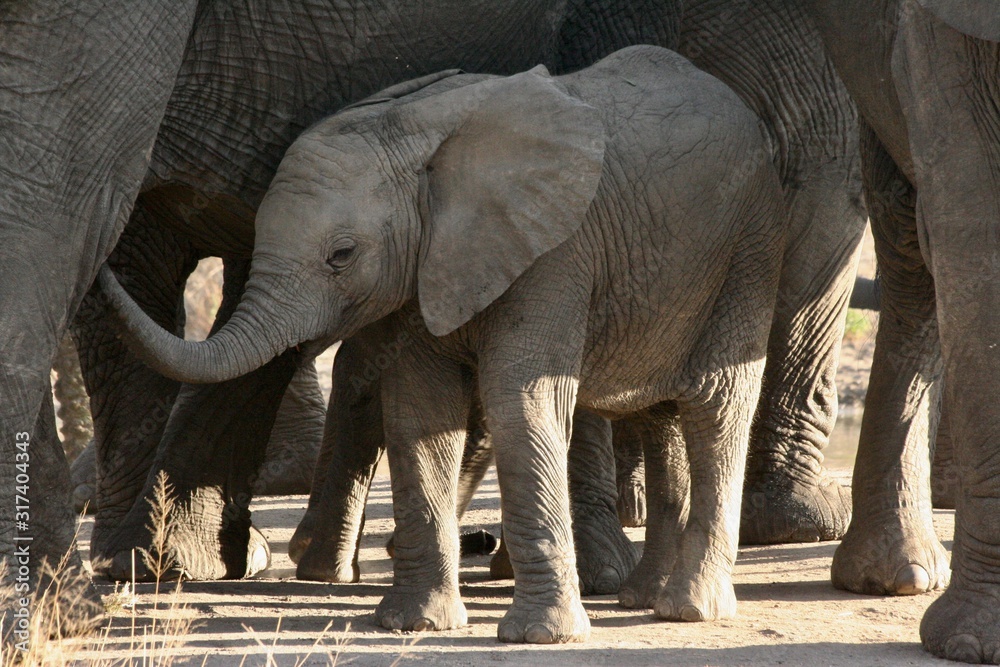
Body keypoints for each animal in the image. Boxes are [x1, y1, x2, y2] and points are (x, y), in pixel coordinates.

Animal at [103, 45, 789, 641]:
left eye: (341, 256)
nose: (103, 263)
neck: (418, 137)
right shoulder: (425, 270)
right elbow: (419, 413)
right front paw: (413, 625)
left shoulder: (554, 254)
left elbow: (519, 401)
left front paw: (539, 637)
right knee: (658, 415)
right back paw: (642, 599)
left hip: (749, 250)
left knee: (713, 407)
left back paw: (688, 610)